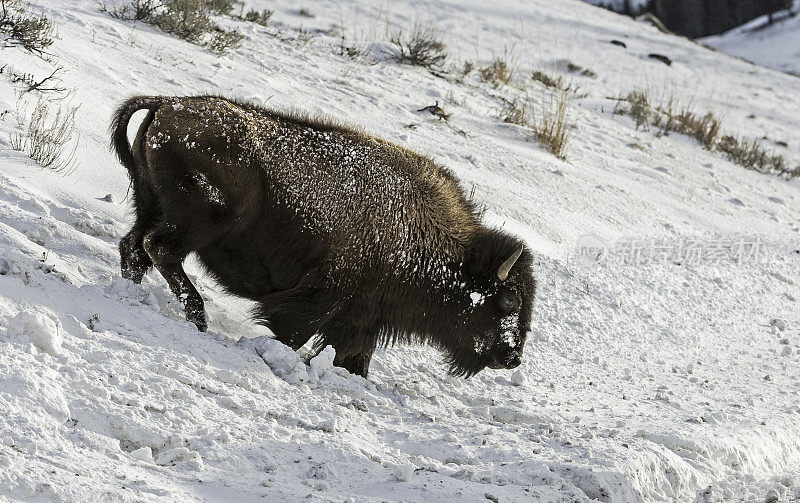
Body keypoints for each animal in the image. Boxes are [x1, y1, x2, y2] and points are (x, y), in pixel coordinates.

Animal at [111, 95, 536, 378]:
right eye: (508, 300)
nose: (512, 357)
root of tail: (169, 104)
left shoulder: (361, 320)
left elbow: (355, 360)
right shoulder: (319, 300)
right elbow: (290, 333)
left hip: (151, 207)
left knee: (135, 247)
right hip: (199, 222)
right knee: (158, 249)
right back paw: (198, 318)